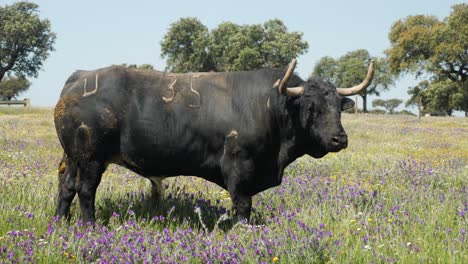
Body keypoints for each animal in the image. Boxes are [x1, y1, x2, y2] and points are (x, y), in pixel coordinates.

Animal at [54, 59, 374, 223]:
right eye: (312, 108)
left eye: (338, 107)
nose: (339, 138)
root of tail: (80, 77)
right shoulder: (239, 166)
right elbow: (242, 205)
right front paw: (242, 231)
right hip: (91, 158)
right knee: (85, 190)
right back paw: (91, 226)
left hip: (72, 158)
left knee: (66, 187)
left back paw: (61, 222)